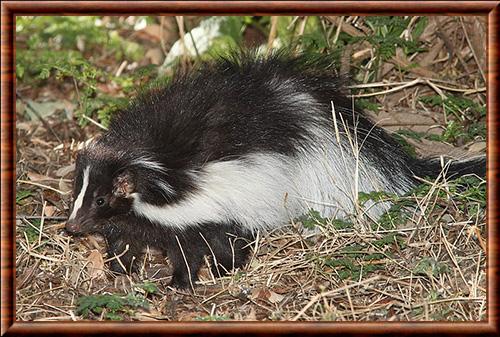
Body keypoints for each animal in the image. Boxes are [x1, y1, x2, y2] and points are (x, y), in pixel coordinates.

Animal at [64, 50, 486, 288]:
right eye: (77, 195)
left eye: (101, 199)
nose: (70, 227)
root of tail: (277, 103)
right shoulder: (135, 218)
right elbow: (124, 239)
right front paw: (120, 270)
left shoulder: (191, 212)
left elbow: (189, 249)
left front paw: (179, 284)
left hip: (248, 194)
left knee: (238, 237)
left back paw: (228, 270)